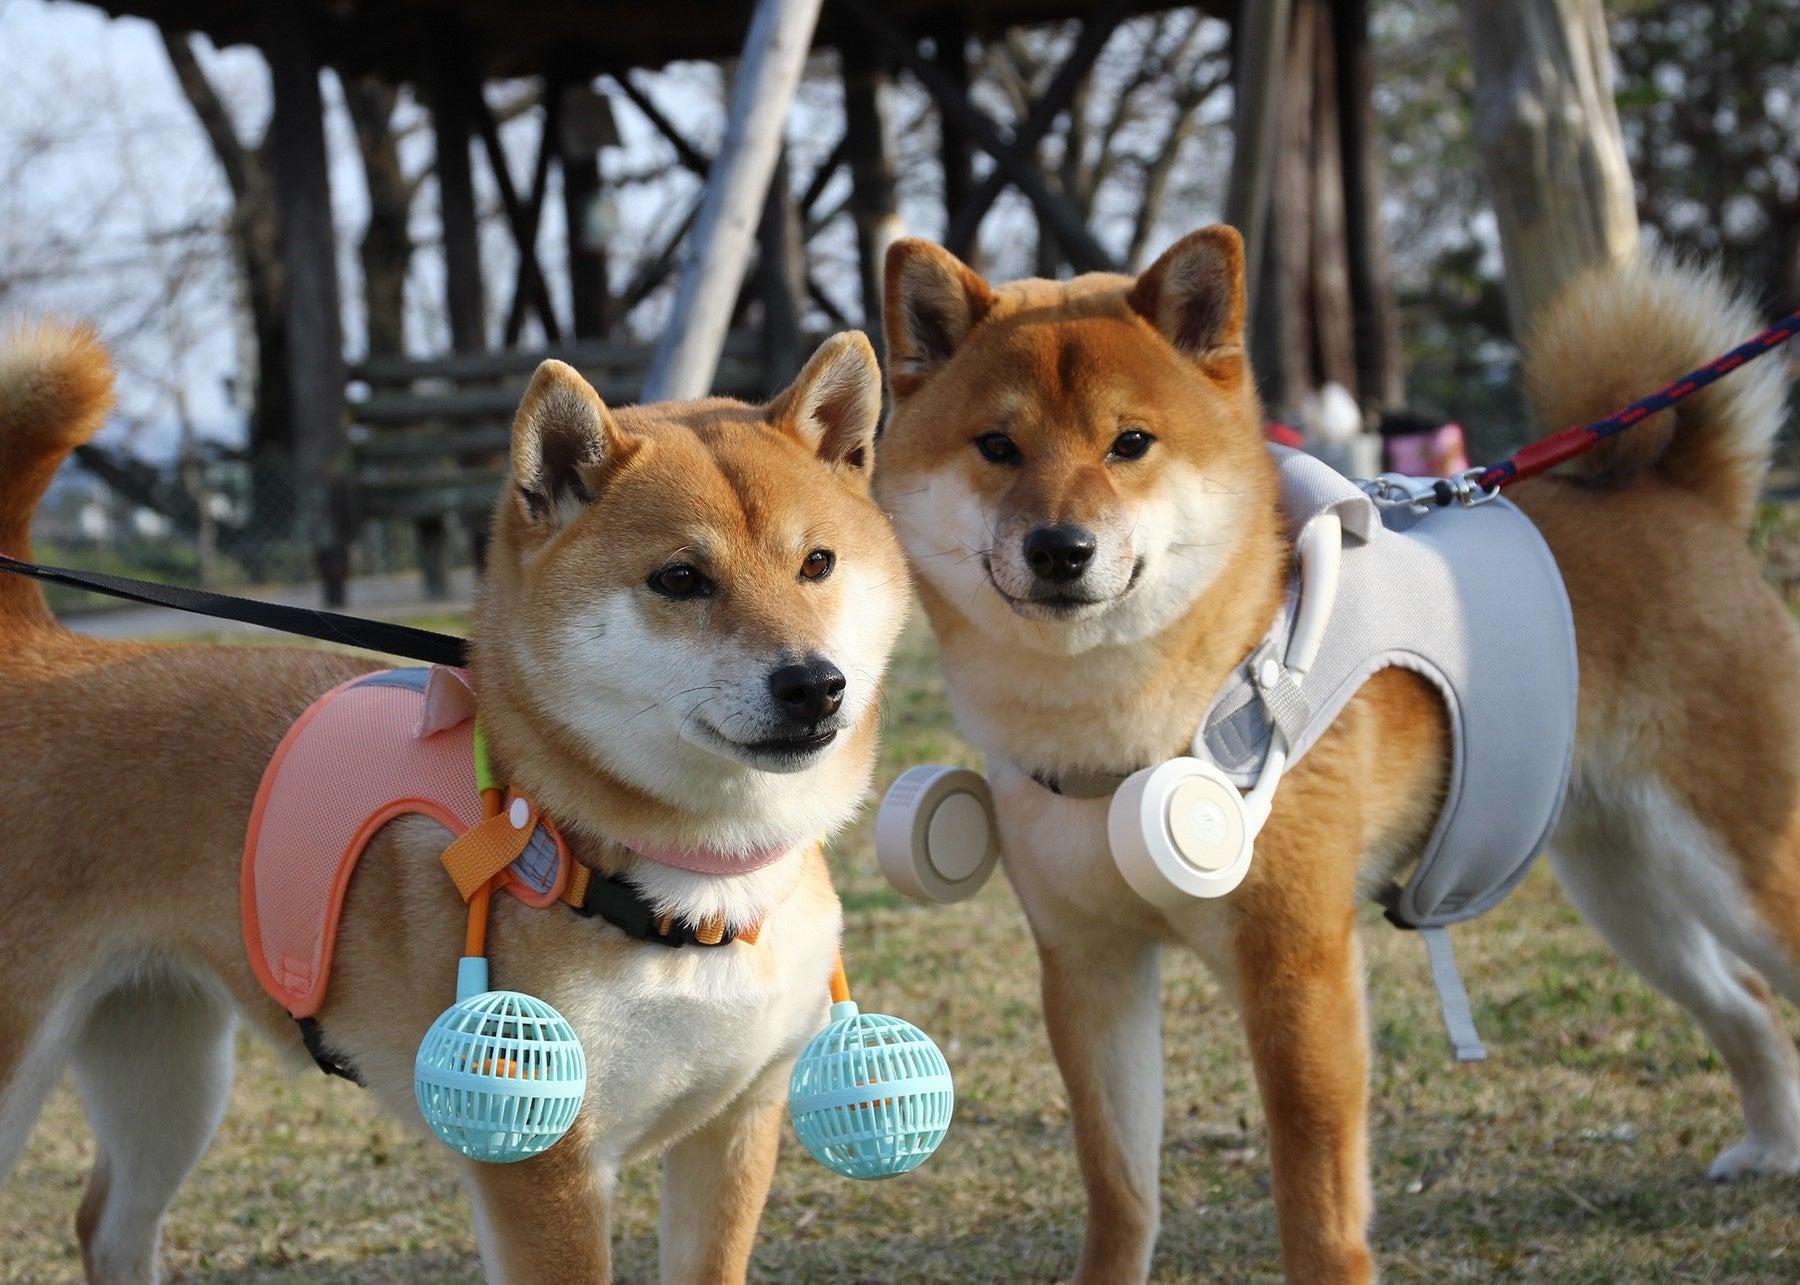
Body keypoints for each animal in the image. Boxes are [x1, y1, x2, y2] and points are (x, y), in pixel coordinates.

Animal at [0, 323, 908, 1282]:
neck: (688, 883)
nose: (813, 684)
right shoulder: (543, 1159)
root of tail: (37, 649)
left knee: (108, 1222)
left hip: (167, 1064)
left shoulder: (737, 1124)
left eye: (817, 563)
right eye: (680, 579)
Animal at [874, 225, 1798, 1281]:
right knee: (1745, 1001)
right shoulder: (1089, 964)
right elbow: (1119, 1187)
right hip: (1624, 888)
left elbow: (1314, 1193)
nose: (1059, 547)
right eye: (998, 446)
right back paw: (1771, 1145)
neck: (1119, 728)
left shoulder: (1297, 958)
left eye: (1130, 443)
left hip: (1736, 863)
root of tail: (1682, 495)